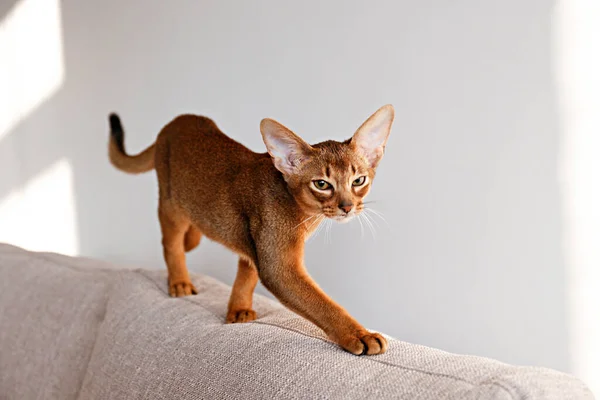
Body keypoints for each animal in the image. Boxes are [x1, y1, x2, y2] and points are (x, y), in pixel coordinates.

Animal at [109, 104, 394, 354]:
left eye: (359, 181)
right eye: (322, 184)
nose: (347, 207)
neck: (302, 211)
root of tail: (176, 121)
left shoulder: (256, 244)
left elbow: (246, 274)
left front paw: (238, 311)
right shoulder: (279, 266)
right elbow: (324, 305)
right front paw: (361, 335)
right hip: (171, 204)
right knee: (171, 244)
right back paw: (180, 281)